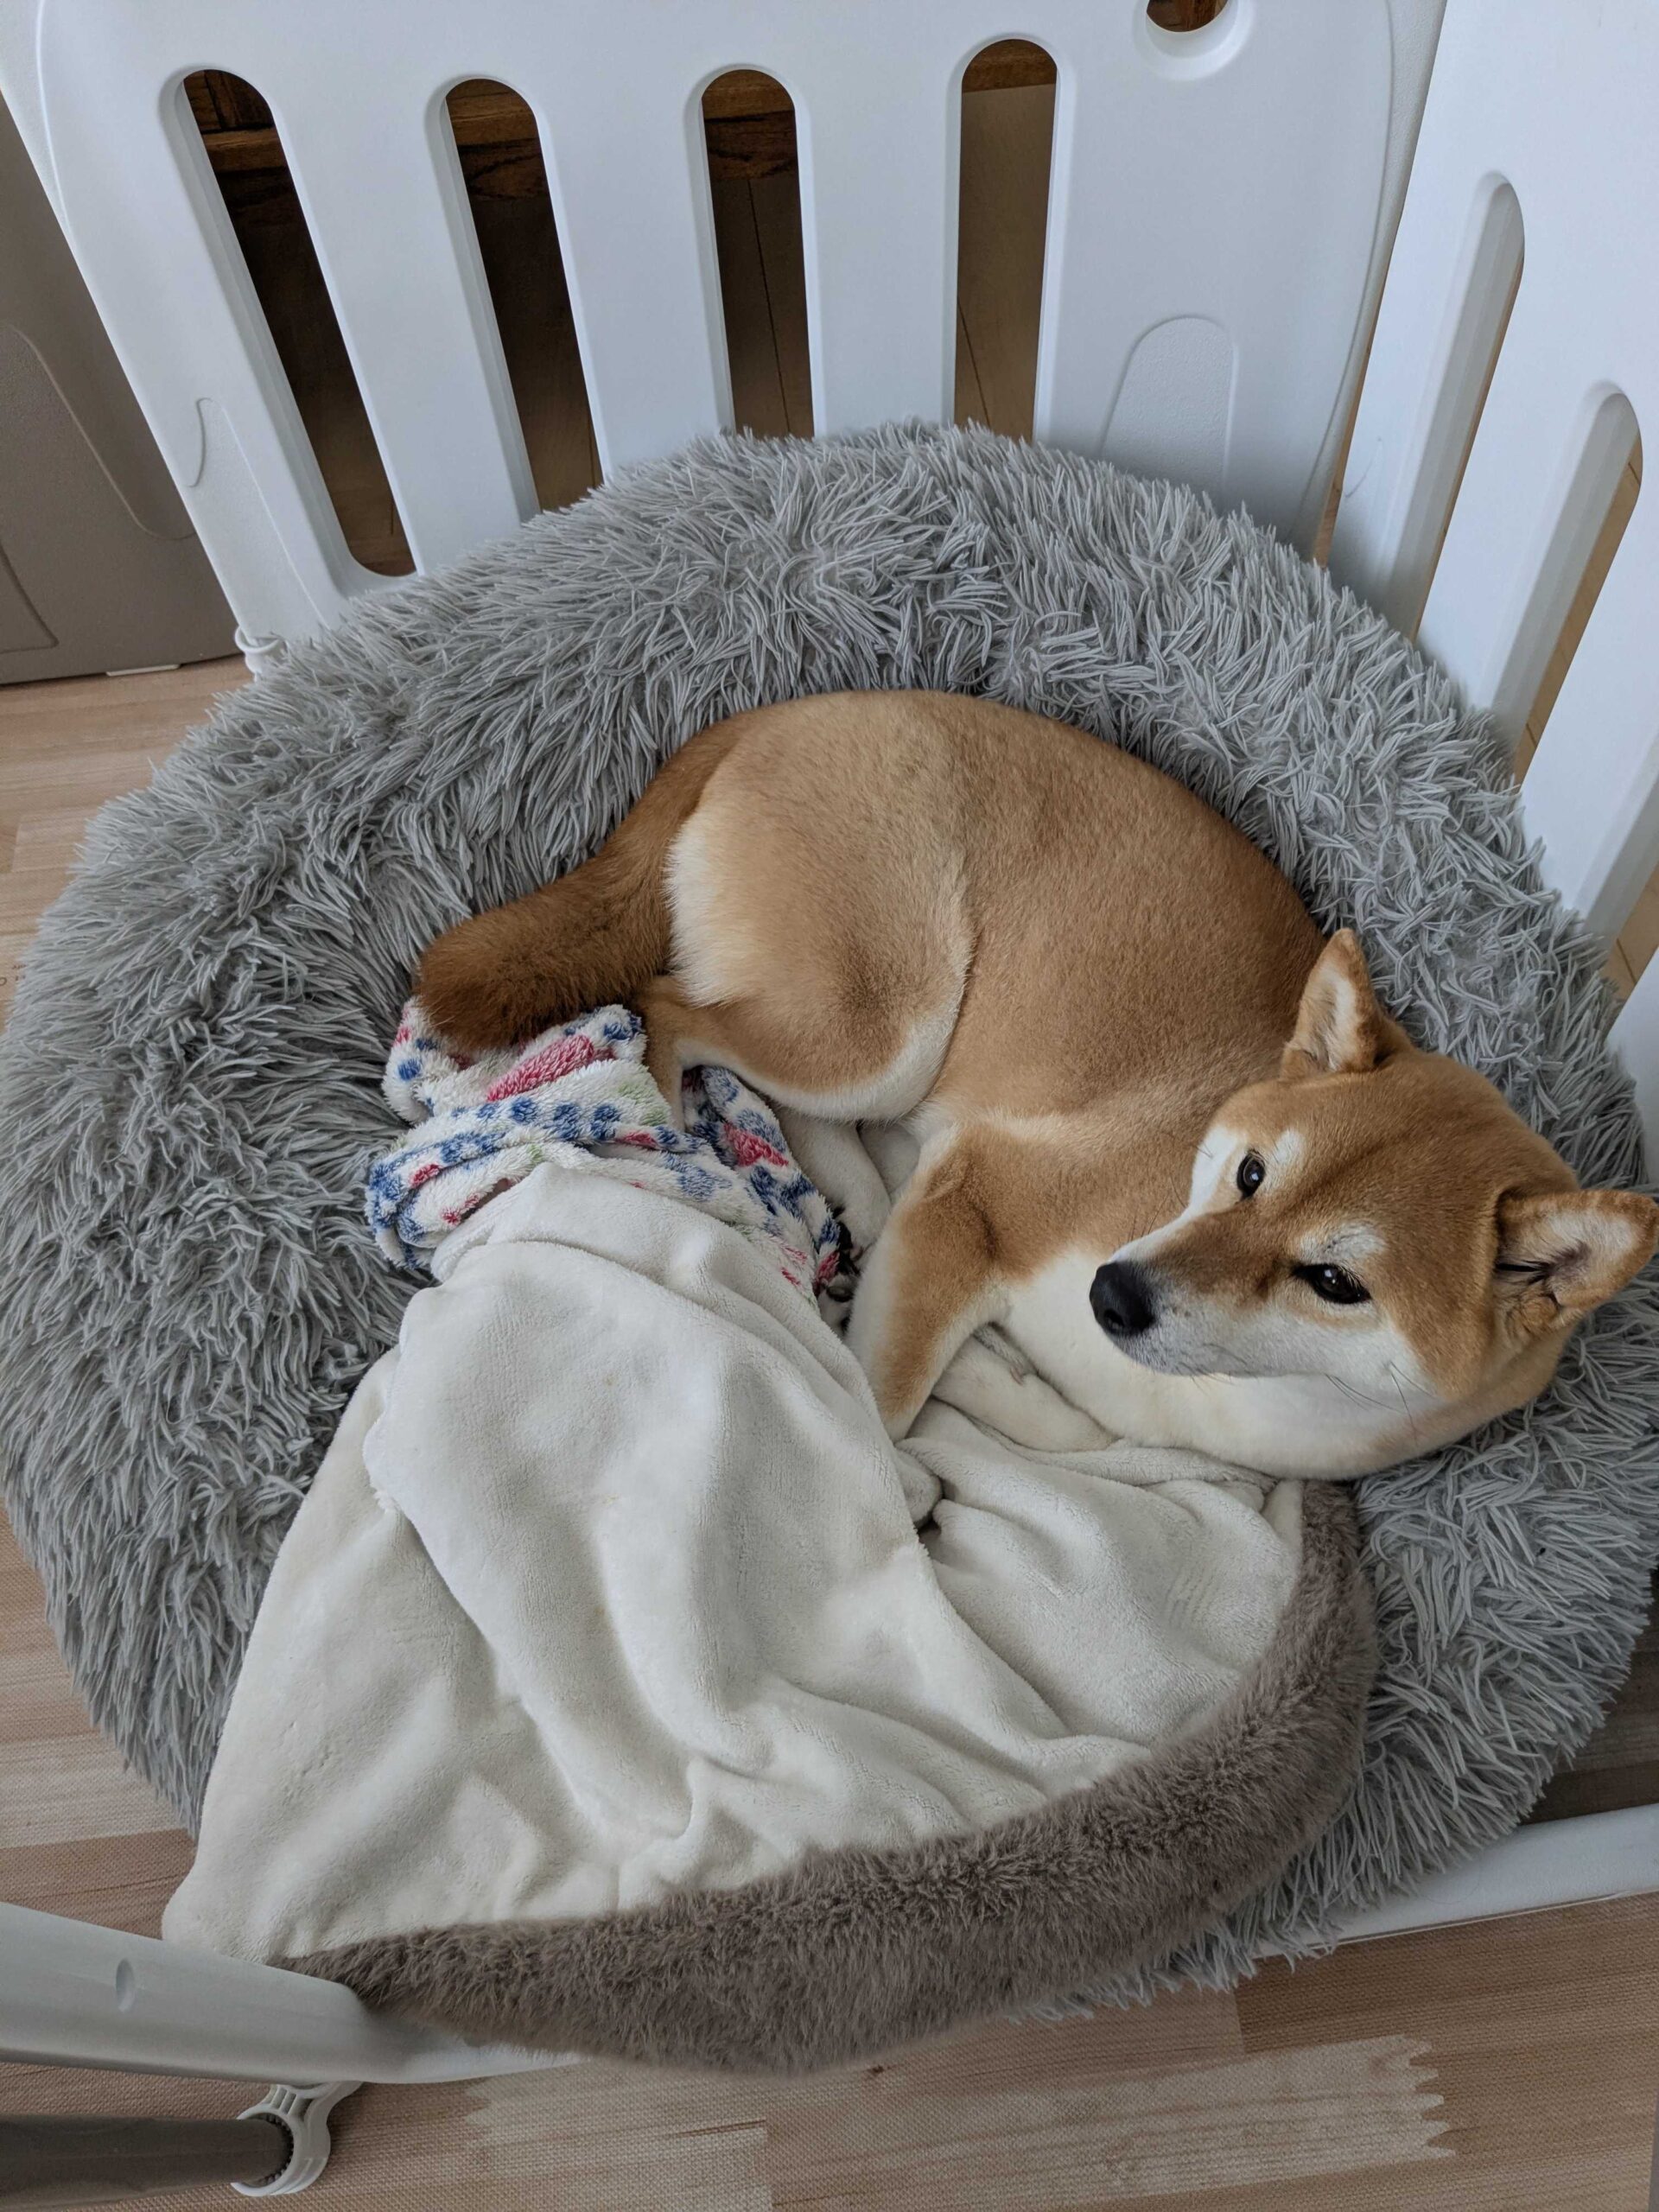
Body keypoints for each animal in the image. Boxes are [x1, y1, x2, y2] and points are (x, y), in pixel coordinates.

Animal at [416, 690, 1657, 1478]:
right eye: (1252, 1172)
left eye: (1337, 1282)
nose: (1116, 1294)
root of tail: (782, 713)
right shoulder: (988, 1195)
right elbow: (881, 1409)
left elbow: (1066, 1431)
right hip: (885, 1019)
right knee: (673, 1016)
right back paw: (697, 1143)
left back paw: (856, 1191)